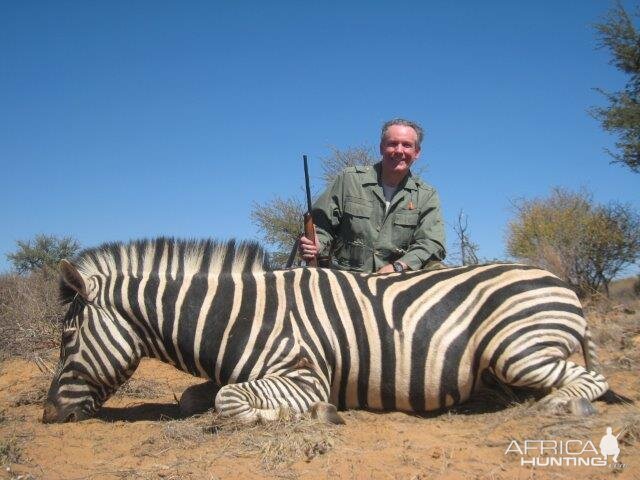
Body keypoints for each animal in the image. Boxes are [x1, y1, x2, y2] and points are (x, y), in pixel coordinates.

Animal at [42, 237, 612, 424]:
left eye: (67, 339)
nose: (48, 415)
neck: (237, 316)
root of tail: (561, 283)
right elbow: (192, 398)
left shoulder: (304, 374)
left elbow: (229, 401)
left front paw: (316, 414)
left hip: (518, 348)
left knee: (592, 382)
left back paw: (557, 408)